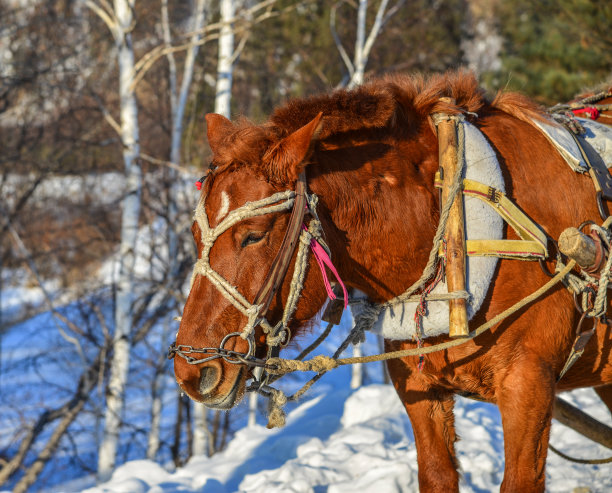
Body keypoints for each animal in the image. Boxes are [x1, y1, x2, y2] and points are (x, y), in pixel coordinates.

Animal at [172, 71, 612, 490]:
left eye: (254, 235)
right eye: (194, 234)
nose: (191, 372)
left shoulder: (528, 386)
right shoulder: (418, 388)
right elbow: (436, 475)